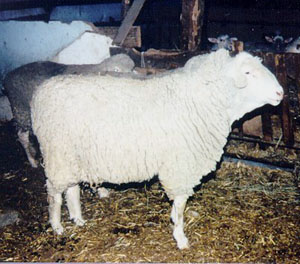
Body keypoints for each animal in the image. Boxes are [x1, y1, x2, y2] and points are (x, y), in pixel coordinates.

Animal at [30, 49, 284, 250]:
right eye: (248, 73)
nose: (281, 92)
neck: (204, 98)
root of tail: (39, 94)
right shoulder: (180, 165)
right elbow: (180, 206)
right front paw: (180, 237)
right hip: (57, 153)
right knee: (54, 193)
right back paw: (57, 225)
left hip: (72, 155)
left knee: (71, 189)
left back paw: (78, 219)